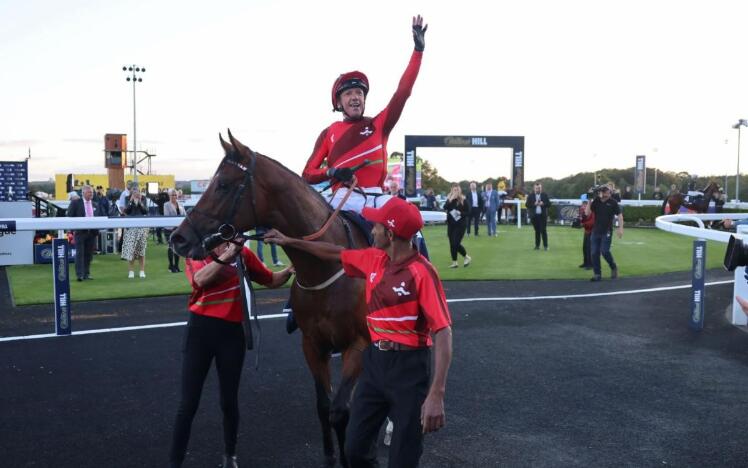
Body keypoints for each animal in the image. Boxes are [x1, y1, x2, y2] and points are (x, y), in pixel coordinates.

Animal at [169, 131, 368, 468]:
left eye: (223, 184)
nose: (178, 238)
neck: (326, 265)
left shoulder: (357, 343)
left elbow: (340, 411)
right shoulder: (312, 344)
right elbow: (323, 406)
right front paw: (330, 457)